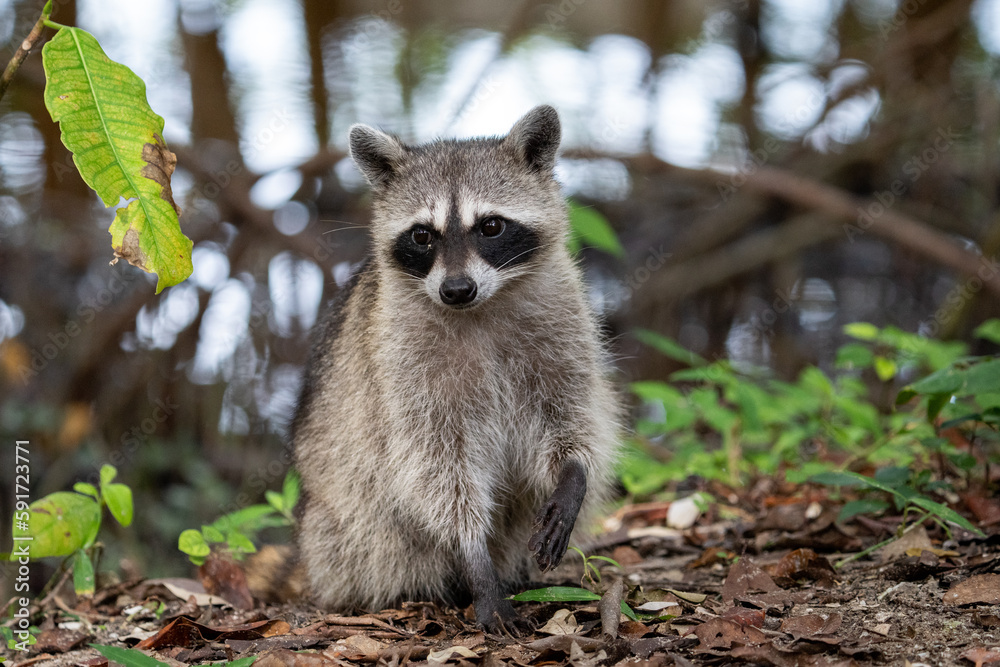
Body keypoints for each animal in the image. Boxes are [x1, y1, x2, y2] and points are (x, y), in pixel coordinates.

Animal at [291, 105, 620, 633]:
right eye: (422, 235)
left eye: (491, 226)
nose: (456, 290)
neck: (480, 307)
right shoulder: (401, 362)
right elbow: (437, 465)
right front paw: (474, 559)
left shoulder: (563, 323)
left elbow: (571, 414)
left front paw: (573, 473)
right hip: (337, 531)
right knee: (369, 533)